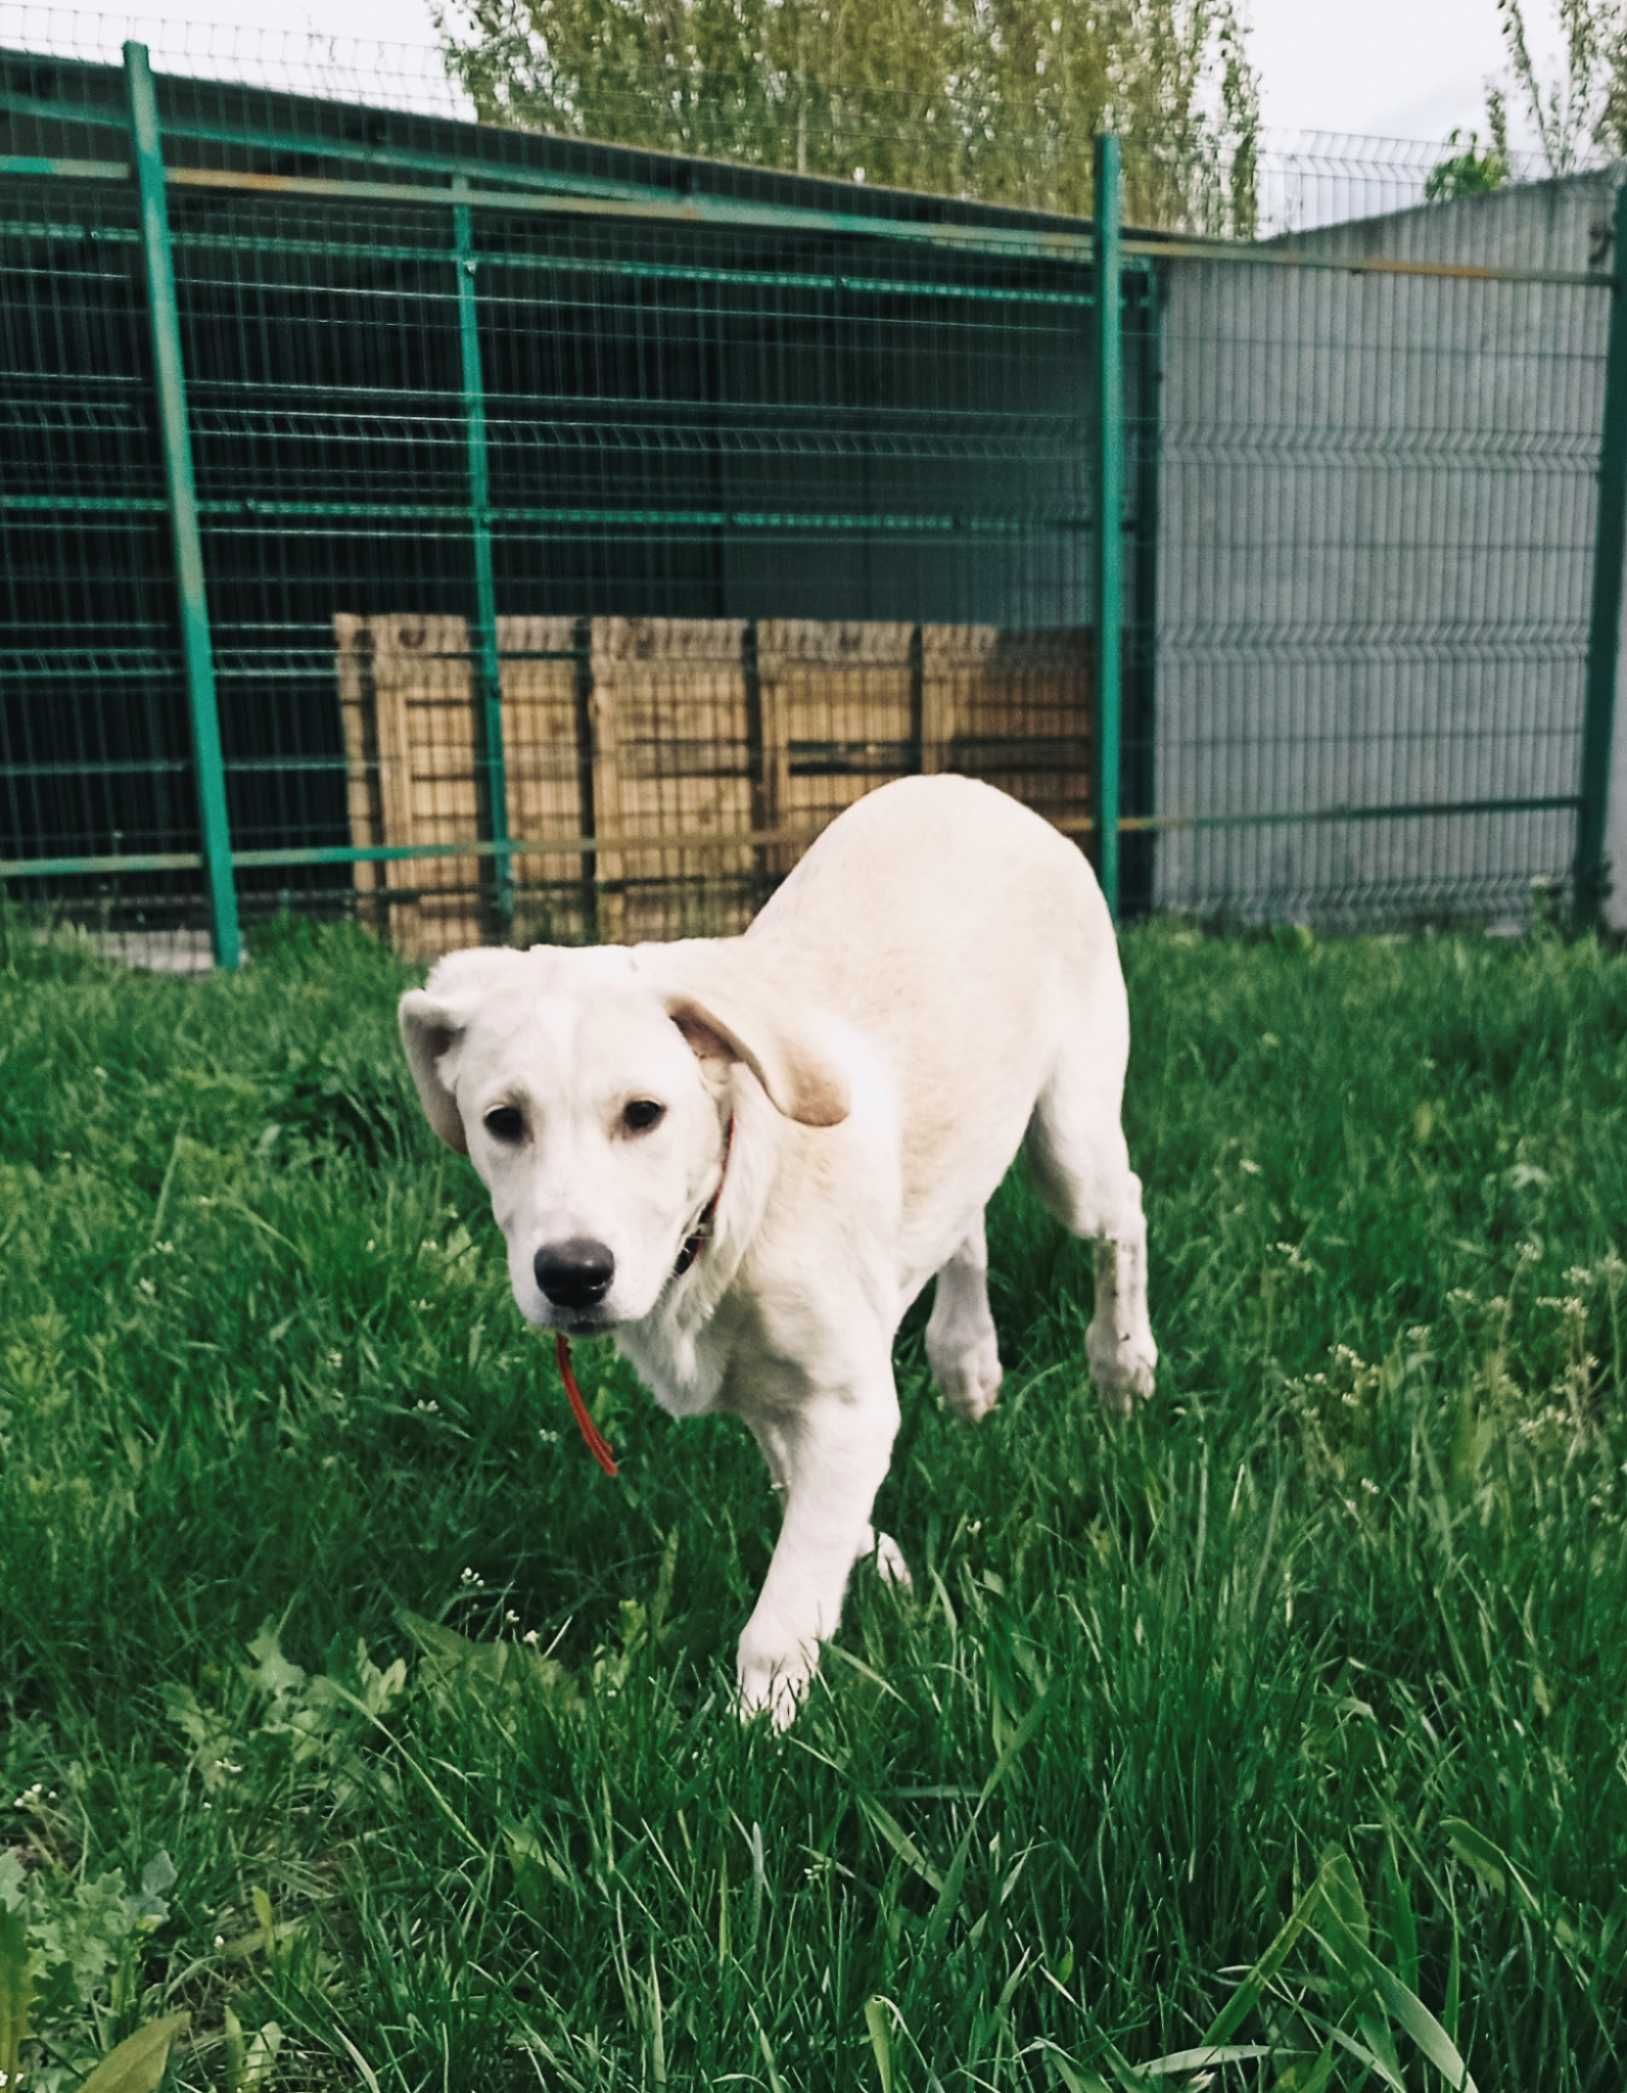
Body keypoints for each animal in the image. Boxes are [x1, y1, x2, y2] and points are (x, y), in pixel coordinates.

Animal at [395, 778, 1155, 1724]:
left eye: (644, 1113)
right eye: (501, 1121)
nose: (572, 1274)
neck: (724, 1221)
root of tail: (978, 788)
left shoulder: (845, 1401)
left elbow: (781, 1609)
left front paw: (756, 1730)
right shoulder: (769, 1398)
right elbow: (806, 1502)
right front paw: (875, 1559)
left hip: (1069, 1143)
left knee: (1122, 1210)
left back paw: (1121, 1364)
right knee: (965, 1220)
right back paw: (965, 1358)